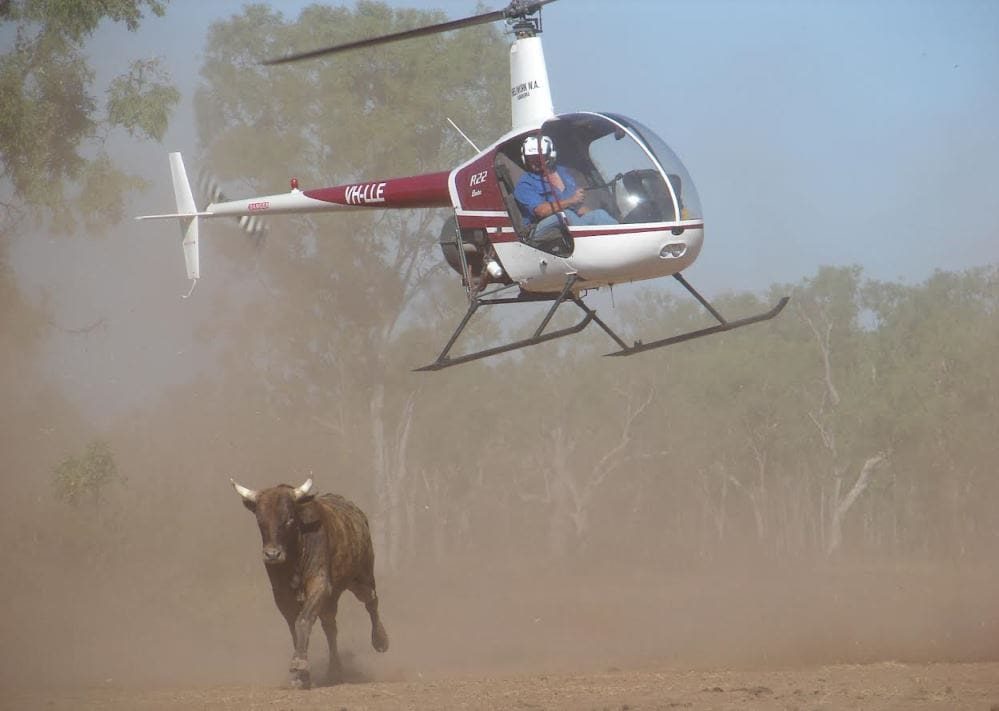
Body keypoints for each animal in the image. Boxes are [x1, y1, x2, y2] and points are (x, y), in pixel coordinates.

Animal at [232, 478, 388, 688]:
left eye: (289, 518)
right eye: (260, 519)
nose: (272, 554)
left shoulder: (319, 585)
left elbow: (303, 620)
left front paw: (299, 664)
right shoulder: (282, 595)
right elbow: (294, 627)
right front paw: (302, 676)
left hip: (361, 578)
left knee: (371, 600)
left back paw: (380, 640)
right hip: (331, 599)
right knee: (330, 627)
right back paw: (334, 670)